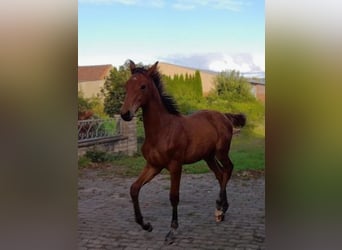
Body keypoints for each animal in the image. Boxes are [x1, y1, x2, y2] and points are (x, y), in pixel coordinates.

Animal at [120, 59, 246, 243]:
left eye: (143, 86)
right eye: (127, 85)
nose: (125, 114)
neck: (162, 130)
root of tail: (224, 115)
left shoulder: (175, 165)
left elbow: (174, 196)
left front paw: (172, 231)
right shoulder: (153, 165)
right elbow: (134, 189)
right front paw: (146, 225)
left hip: (221, 151)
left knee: (228, 169)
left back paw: (220, 208)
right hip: (208, 157)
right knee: (220, 174)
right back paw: (221, 210)